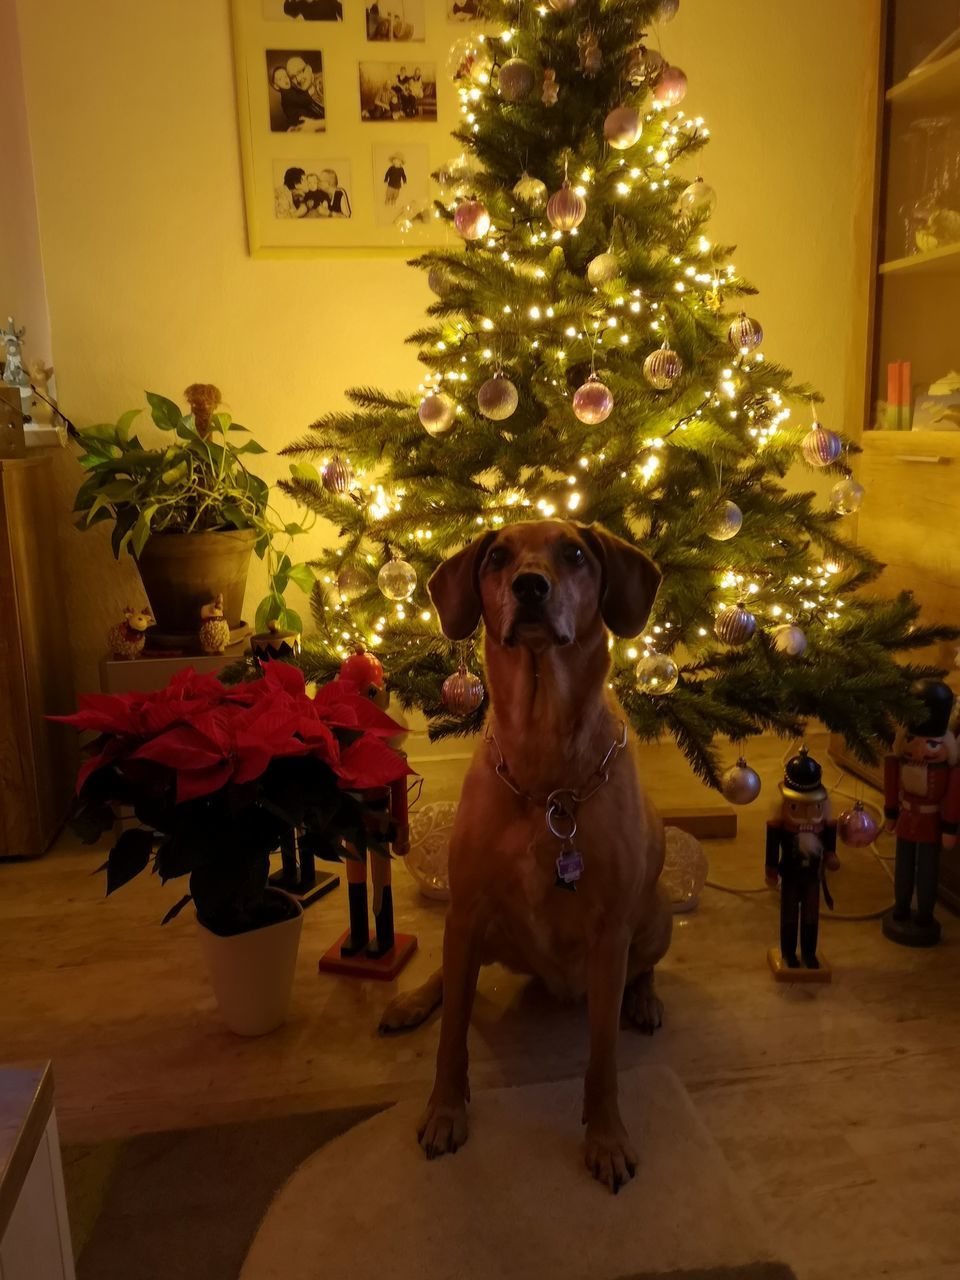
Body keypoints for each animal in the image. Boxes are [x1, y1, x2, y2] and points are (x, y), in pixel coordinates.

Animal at [378, 517, 670, 1187]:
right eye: (498, 558)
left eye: (576, 554)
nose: (530, 587)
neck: (544, 761)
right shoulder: (466, 909)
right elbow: (453, 1036)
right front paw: (444, 1111)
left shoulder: (610, 934)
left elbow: (602, 1058)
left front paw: (607, 1138)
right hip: (482, 931)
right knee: (450, 976)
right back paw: (411, 1001)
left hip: (659, 913)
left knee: (643, 968)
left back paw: (644, 999)